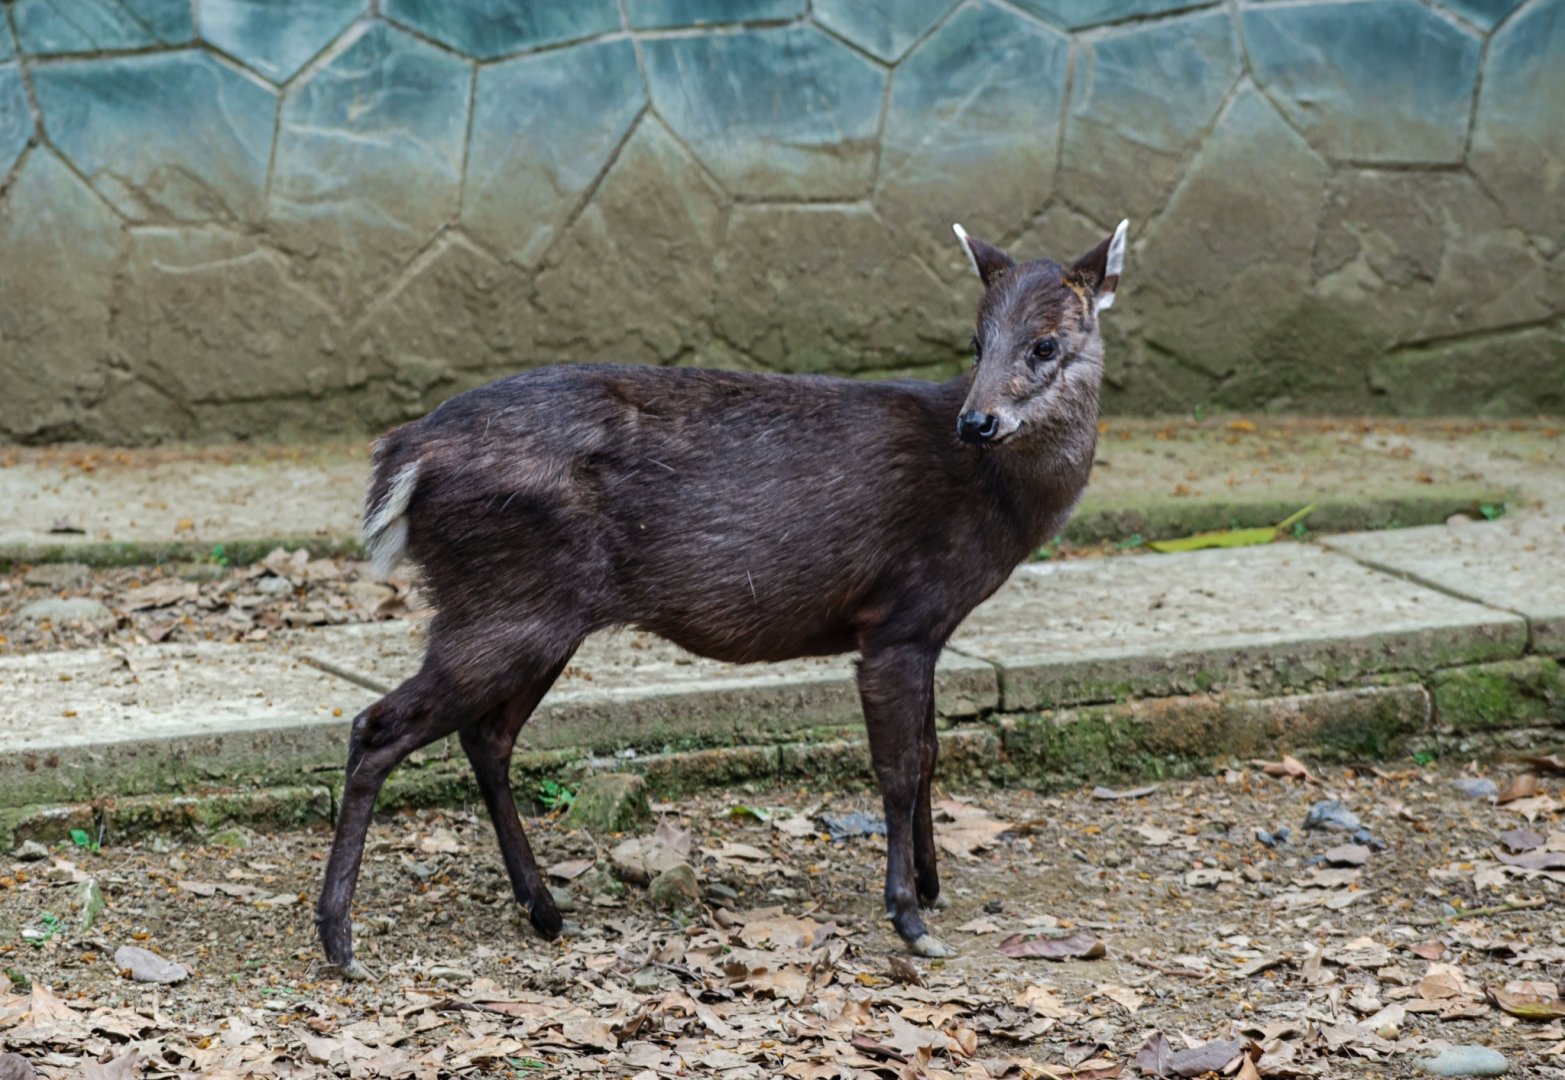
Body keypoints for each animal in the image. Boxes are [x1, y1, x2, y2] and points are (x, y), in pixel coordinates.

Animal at [316, 219, 1129, 976]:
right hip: (507, 603)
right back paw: (339, 938)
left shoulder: (927, 626)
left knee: (486, 737)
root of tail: (404, 456)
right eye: (974, 339)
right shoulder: (896, 617)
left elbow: (930, 754)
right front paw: (910, 919)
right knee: (378, 726)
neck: (995, 507)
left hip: (532, 613)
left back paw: (543, 908)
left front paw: (931, 886)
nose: (976, 420)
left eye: (1045, 344)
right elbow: (897, 770)